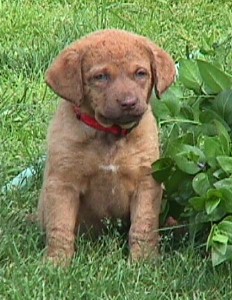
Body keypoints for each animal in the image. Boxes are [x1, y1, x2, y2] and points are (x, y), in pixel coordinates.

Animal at [38, 29, 176, 264]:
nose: (129, 103)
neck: (109, 134)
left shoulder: (146, 182)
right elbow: (60, 227)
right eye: (100, 77)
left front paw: (144, 260)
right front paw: (57, 263)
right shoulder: (62, 183)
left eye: (141, 73)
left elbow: (143, 225)